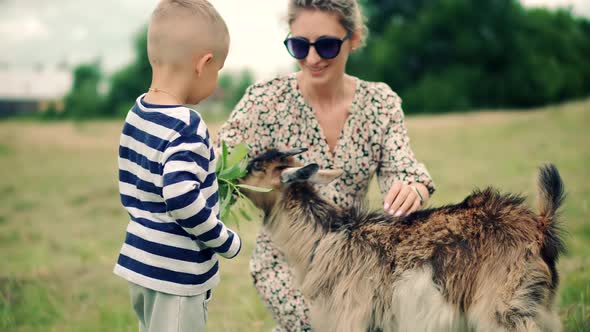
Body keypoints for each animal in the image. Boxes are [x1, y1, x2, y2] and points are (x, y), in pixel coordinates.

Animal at [242, 148, 568, 332]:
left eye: (255, 166)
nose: (232, 176)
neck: (324, 237)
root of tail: (541, 224)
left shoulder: (350, 314)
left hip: (505, 306)